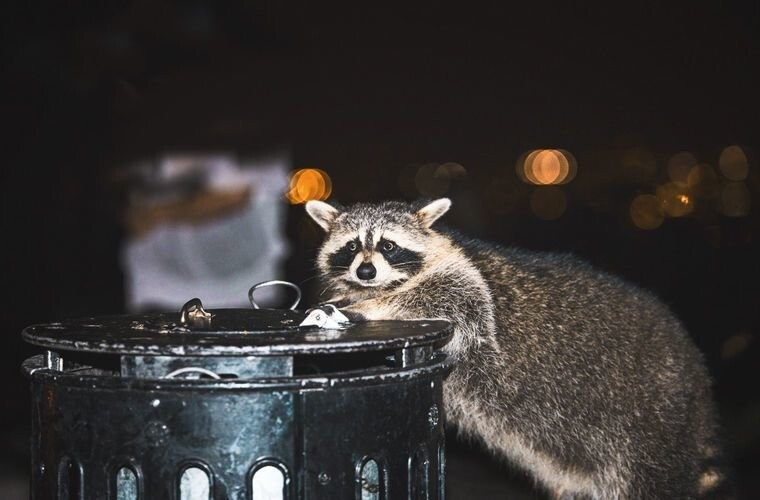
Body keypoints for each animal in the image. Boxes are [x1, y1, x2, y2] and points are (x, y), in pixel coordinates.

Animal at [302, 197, 732, 498]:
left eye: (388, 246)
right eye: (352, 246)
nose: (366, 272)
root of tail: (696, 373)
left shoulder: (468, 285)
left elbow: (450, 303)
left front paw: (368, 306)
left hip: (654, 423)